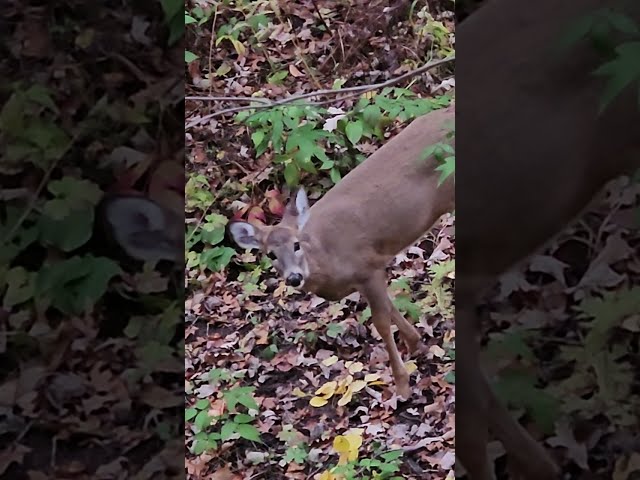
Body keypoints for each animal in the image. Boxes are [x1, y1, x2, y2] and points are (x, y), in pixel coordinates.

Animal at [229, 104, 455, 400]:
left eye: (297, 244)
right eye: (270, 254)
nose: (294, 278)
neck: (327, 259)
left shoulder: (366, 266)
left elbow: (381, 323)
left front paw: (402, 384)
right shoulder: (370, 274)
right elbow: (391, 307)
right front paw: (417, 344)